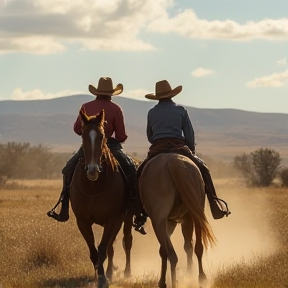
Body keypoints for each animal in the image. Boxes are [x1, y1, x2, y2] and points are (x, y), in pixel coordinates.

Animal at [70, 108, 133, 288]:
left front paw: (103, 278)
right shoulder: (82, 221)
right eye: (83, 136)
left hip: (126, 218)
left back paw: (126, 272)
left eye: (102, 136)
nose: (92, 170)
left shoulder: (113, 218)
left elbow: (103, 248)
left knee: (126, 241)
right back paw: (110, 272)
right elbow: (94, 251)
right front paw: (98, 275)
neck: (94, 187)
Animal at [140, 153, 216, 288]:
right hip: (196, 213)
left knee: (171, 253)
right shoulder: (180, 220)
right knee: (198, 247)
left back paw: (172, 282)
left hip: (158, 220)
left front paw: (163, 281)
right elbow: (188, 246)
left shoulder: (168, 221)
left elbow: (164, 250)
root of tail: (173, 162)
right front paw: (189, 274)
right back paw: (201, 278)